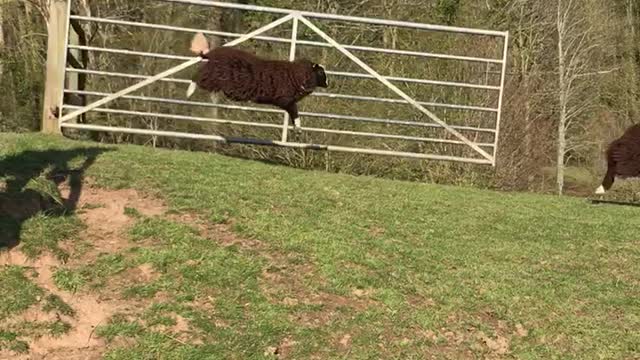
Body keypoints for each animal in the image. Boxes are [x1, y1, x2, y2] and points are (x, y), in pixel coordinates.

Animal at [184, 31, 324, 129]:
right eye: (321, 72)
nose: (327, 83)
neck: (297, 75)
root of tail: (212, 53)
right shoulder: (286, 100)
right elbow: (295, 112)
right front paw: (298, 127)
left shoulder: (286, 102)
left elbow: (293, 113)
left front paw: (296, 127)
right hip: (214, 76)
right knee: (197, 78)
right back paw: (189, 92)